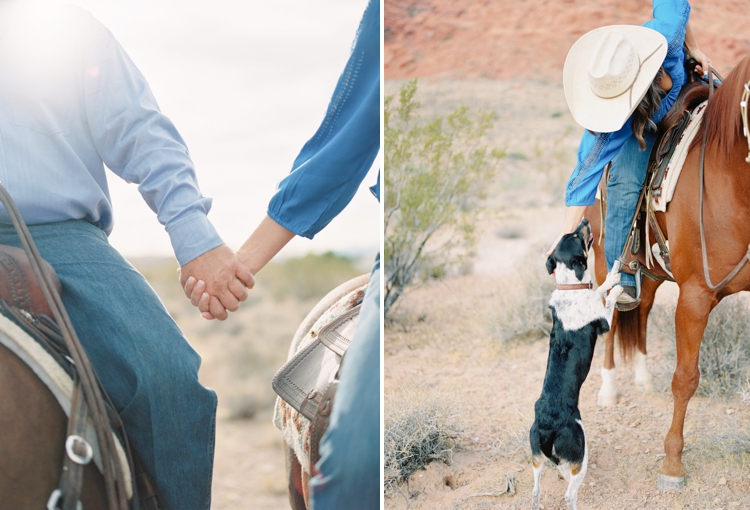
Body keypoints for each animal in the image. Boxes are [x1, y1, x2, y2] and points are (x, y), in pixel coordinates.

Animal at [532, 220, 624, 510]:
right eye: (576, 236)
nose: (584, 221)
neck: (569, 288)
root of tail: (546, 427)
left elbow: (597, 288)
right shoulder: (604, 321)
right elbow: (604, 292)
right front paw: (615, 280)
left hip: (536, 460)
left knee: (536, 490)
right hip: (581, 451)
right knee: (569, 494)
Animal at [588, 52, 750, 490]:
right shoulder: (695, 295)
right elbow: (686, 377)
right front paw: (673, 464)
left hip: (652, 271)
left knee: (640, 311)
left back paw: (643, 379)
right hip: (605, 260)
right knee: (610, 315)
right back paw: (609, 389)